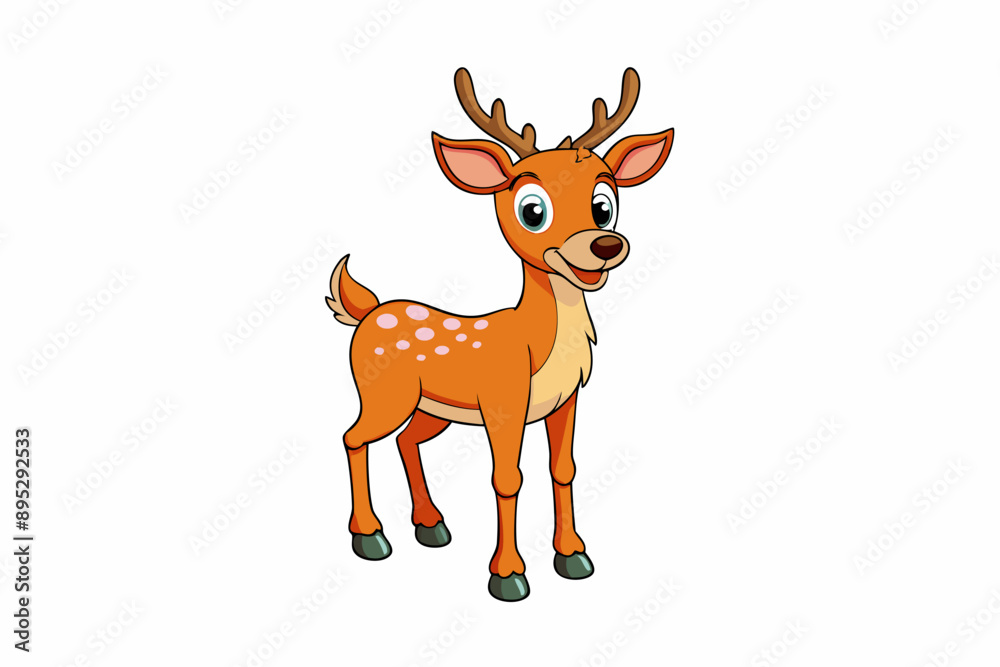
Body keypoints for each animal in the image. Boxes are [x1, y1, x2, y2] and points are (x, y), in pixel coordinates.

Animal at [326, 67, 673, 601]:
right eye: (533, 210)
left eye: (604, 204)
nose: (605, 245)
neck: (536, 345)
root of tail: (367, 312)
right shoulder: (502, 402)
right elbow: (507, 478)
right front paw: (508, 575)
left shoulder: (567, 400)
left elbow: (563, 468)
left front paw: (573, 556)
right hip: (384, 394)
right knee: (353, 436)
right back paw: (371, 536)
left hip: (432, 408)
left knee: (405, 442)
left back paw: (431, 526)